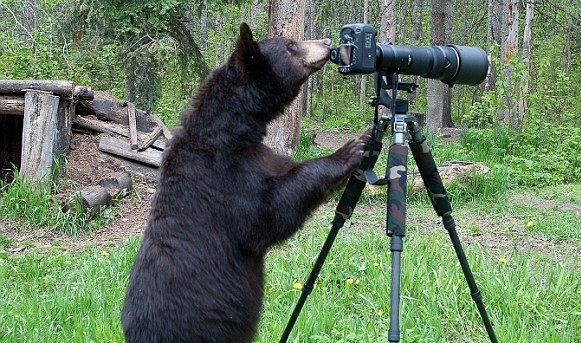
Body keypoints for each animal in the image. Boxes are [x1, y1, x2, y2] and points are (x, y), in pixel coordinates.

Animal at [120, 22, 370, 342]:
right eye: (290, 44)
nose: (327, 42)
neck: (232, 133)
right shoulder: (222, 178)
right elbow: (266, 215)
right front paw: (349, 150)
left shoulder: (260, 156)